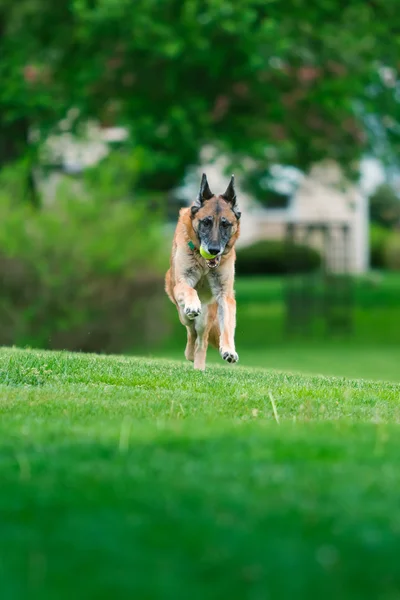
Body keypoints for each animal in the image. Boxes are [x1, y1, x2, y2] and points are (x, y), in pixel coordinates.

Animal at [165, 172, 241, 370]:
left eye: (225, 225)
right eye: (206, 222)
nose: (214, 250)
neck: (204, 264)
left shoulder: (224, 295)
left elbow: (227, 326)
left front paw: (228, 349)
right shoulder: (182, 282)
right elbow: (190, 290)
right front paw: (193, 303)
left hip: (206, 316)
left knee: (201, 340)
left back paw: (198, 365)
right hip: (182, 313)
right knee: (190, 330)